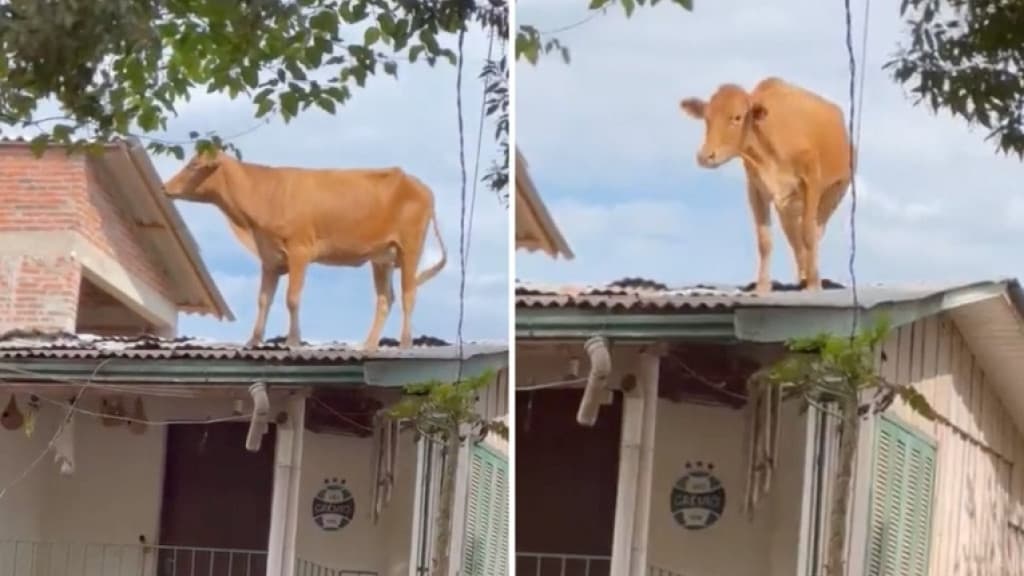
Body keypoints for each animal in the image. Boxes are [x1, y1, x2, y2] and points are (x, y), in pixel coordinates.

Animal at [164, 151, 447, 350]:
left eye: (192, 165)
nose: (165, 188)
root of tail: (419, 184)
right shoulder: (270, 258)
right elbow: (264, 299)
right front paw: (253, 340)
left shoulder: (300, 250)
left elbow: (292, 298)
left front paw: (292, 340)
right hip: (382, 258)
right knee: (385, 298)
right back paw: (369, 345)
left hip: (410, 248)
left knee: (409, 294)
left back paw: (405, 343)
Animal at [679, 77, 853, 293]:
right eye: (706, 118)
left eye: (737, 117)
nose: (705, 156)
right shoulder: (756, 189)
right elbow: (765, 241)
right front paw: (762, 286)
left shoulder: (811, 182)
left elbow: (808, 234)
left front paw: (814, 284)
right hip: (787, 207)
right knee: (795, 240)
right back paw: (802, 277)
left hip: (834, 193)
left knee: (814, 233)